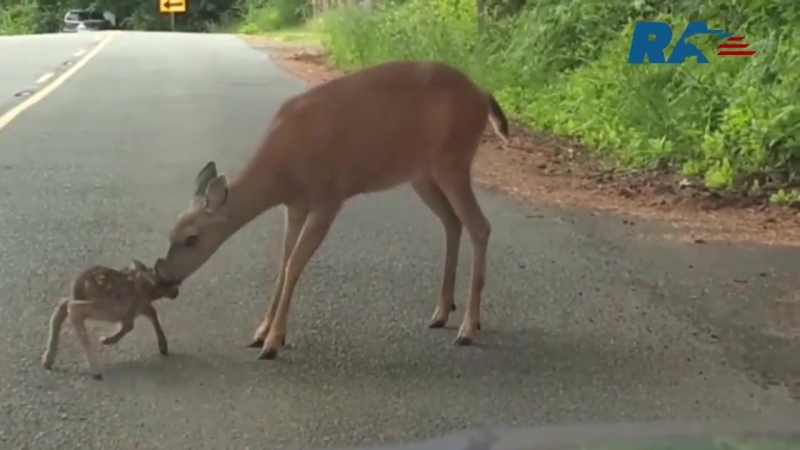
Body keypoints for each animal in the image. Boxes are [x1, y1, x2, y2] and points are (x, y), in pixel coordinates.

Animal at [158, 60, 506, 362]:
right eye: (170, 232)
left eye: (191, 238)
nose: (164, 277)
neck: (283, 172)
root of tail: (481, 93)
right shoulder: (295, 206)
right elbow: (283, 263)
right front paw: (260, 332)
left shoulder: (329, 198)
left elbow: (294, 265)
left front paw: (273, 342)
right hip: (421, 173)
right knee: (453, 222)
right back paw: (442, 313)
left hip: (453, 160)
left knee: (480, 226)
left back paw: (468, 329)